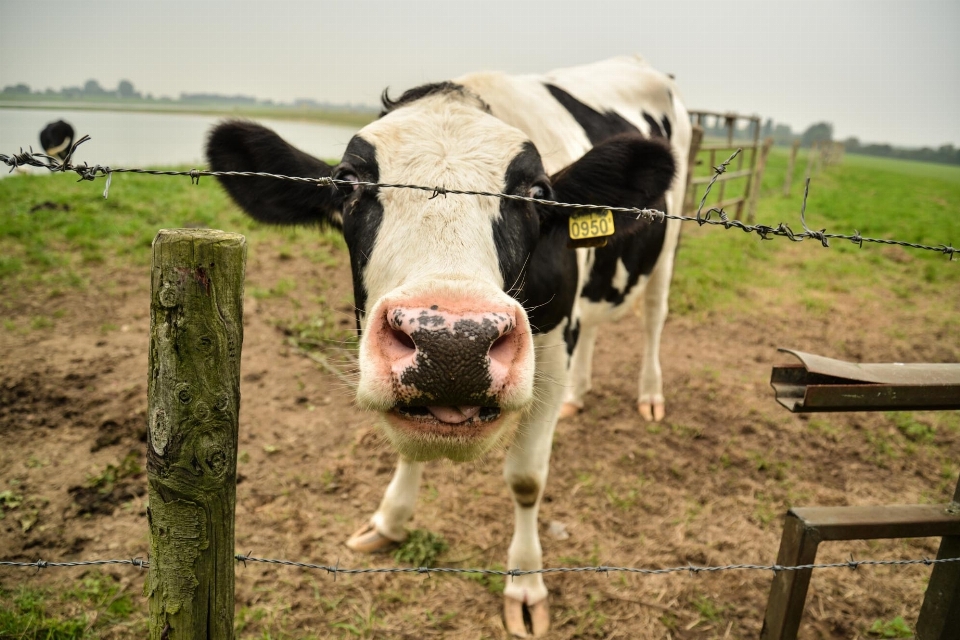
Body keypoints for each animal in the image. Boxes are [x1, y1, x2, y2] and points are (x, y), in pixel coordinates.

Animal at [206, 57, 688, 636]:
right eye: (346, 183)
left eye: (539, 193)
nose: (452, 345)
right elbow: (409, 444)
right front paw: (390, 519)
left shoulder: (551, 349)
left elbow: (526, 479)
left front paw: (526, 584)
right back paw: (579, 396)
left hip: (668, 244)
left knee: (654, 315)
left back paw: (650, 395)